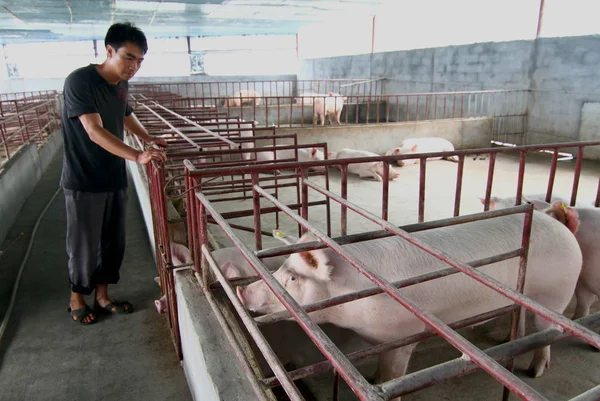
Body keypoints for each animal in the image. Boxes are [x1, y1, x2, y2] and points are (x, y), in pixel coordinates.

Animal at [237, 211, 584, 392]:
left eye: (293, 279)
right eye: (282, 268)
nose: (243, 291)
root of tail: (561, 226)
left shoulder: (405, 334)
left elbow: (395, 375)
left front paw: (383, 383)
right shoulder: (382, 338)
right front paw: (373, 378)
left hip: (555, 292)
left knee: (547, 331)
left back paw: (535, 373)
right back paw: (501, 340)